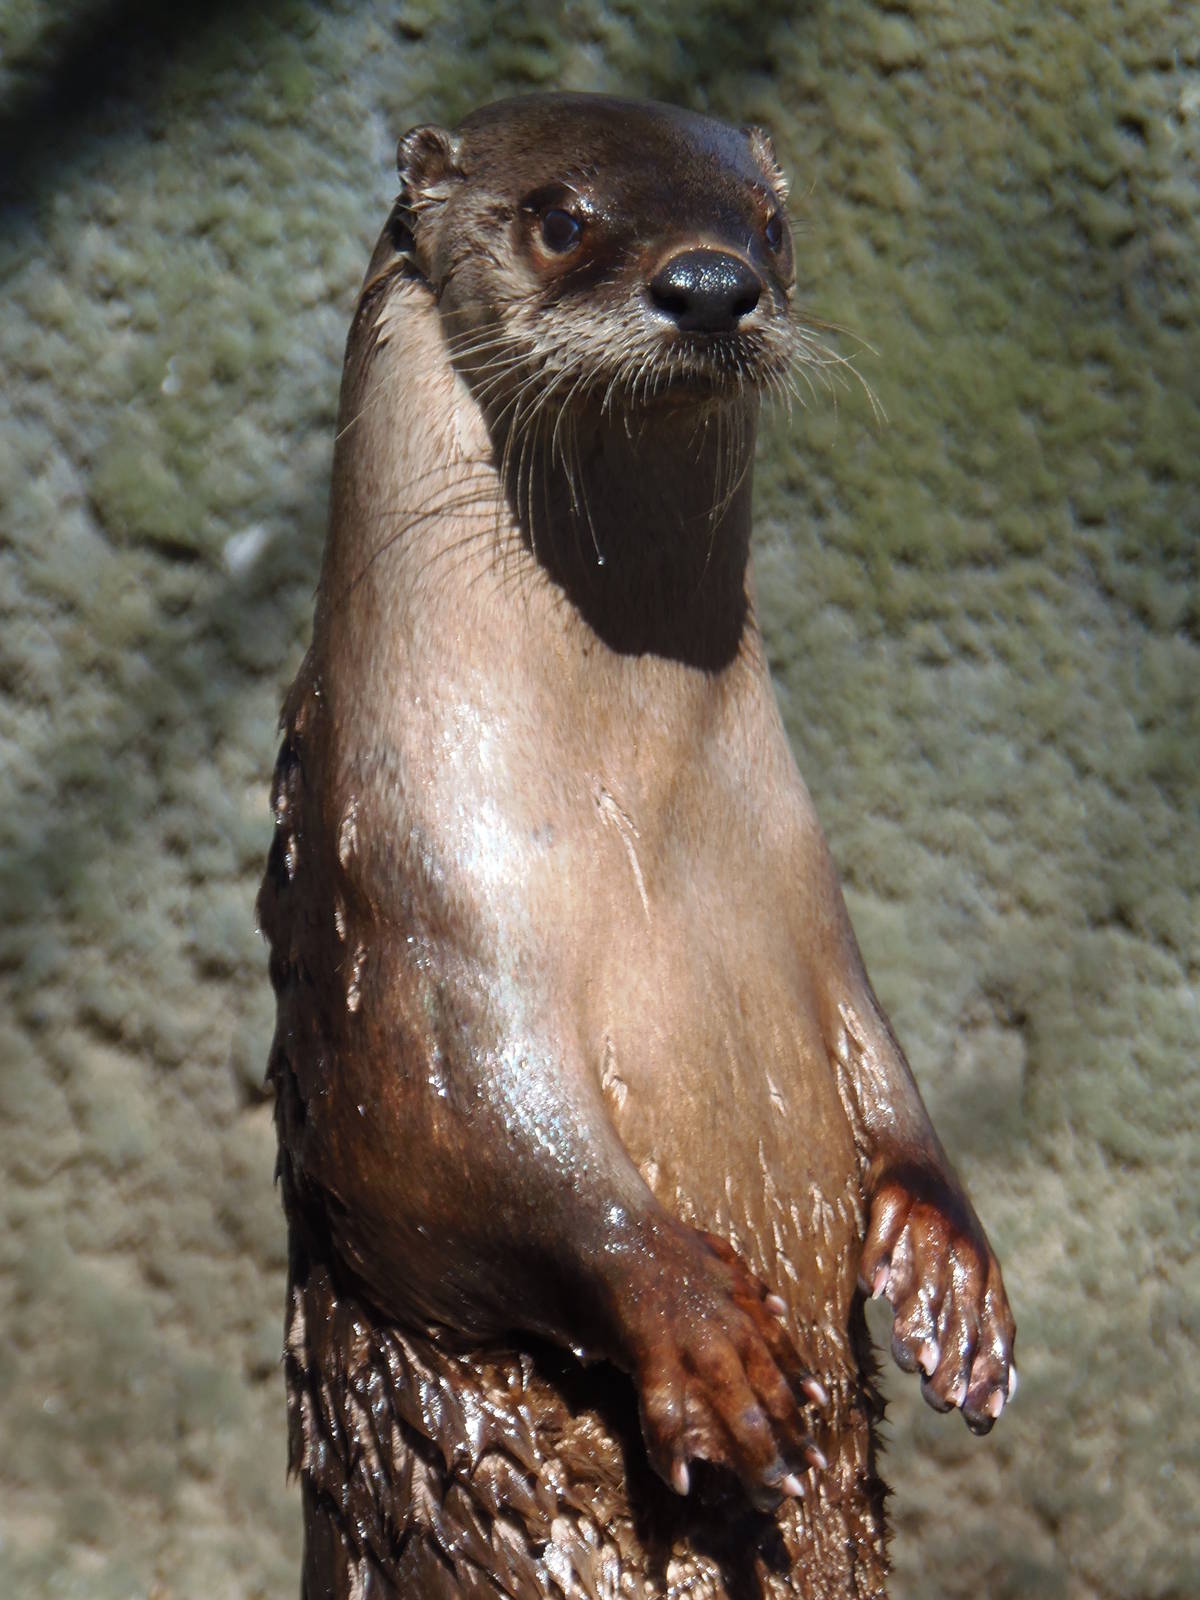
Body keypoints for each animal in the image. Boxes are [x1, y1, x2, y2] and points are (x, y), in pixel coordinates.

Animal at [258, 93, 1016, 1600]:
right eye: (560, 218)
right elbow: (452, 1144)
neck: (637, 825)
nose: (713, 283)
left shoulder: (812, 910)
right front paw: (706, 1333)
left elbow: (887, 1068)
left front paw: (953, 1271)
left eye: (770, 224)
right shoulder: (420, 913)